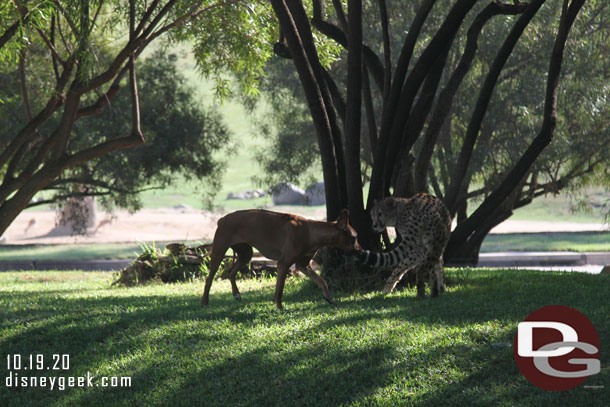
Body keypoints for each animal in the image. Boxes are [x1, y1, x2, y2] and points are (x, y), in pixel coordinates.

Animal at [201, 210, 356, 310]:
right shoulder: (284, 263)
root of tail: (222, 219)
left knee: (231, 273)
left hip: (246, 254)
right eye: (355, 238)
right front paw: (279, 306)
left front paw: (328, 297)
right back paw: (204, 301)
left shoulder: (302, 265)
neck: (310, 231)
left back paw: (236, 294)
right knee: (209, 278)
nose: (359, 250)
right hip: (219, 252)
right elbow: (280, 289)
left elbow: (321, 281)